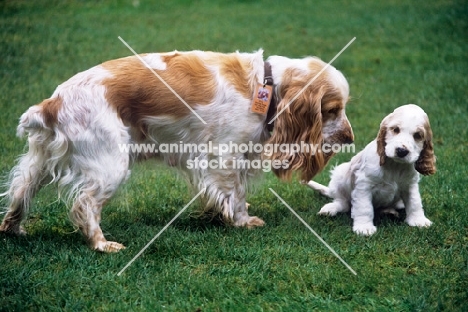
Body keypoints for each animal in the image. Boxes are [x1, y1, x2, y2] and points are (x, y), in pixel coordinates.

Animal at [0, 50, 352, 252]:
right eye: (332, 110)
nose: (350, 138)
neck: (265, 86)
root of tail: (53, 102)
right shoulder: (223, 155)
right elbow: (235, 193)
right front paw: (242, 221)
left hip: (41, 162)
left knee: (20, 191)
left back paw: (13, 228)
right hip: (111, 165)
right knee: (84, 204)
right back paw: (102, 244)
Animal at [308, 103, 436, 235]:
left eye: (417, 135)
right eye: (396, 129)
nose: (401, 151)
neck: (395, 165)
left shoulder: (410, 185)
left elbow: (414, 202)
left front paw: (418, 220)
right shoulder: (364, 185)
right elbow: (365, 208)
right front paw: (364, 227)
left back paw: (389, 211)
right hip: (340, 175)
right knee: (343, 202)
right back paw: (330, 209)